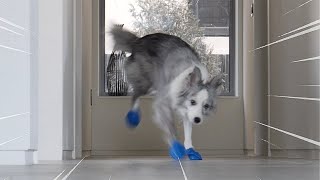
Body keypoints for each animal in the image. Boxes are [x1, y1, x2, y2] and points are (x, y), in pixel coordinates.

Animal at [111, 26, 224, 160]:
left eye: (206, 106)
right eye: (193, 101)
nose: (197, 120)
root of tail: (137, 41)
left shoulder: (187, 113)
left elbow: (188, 132)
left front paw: (190, 149)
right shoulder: (162, 103)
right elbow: (170, 126)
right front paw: (176, 147)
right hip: (145, 82)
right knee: (135, 95)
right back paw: (133, 117)